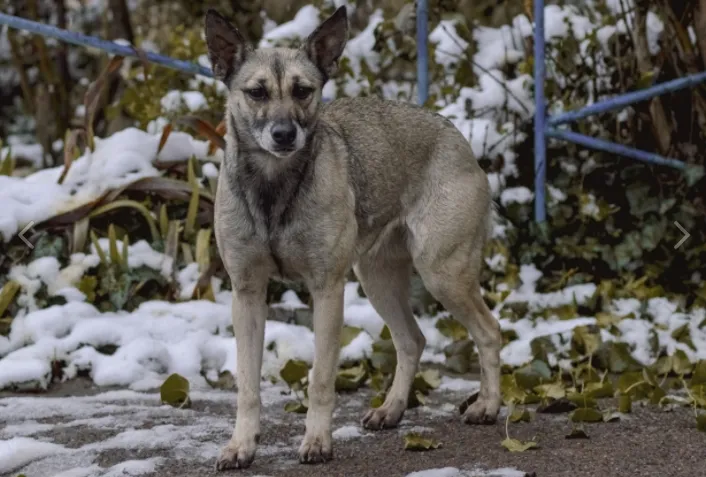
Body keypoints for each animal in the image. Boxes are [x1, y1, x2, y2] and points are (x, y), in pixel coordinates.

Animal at [204, 5, 500, 470]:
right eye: (256, 93)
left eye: (303, 91)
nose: (284, 134)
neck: (275, 187)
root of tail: (457, 136)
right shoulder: (247, 294)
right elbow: (248, 386)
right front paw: (241, 445)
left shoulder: (326, 289)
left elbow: (321, 379)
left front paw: (317, 442)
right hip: (377, 279)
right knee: (412, 340)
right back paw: (391, 410)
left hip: (443, 274)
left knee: (489, 332)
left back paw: (487, 406)